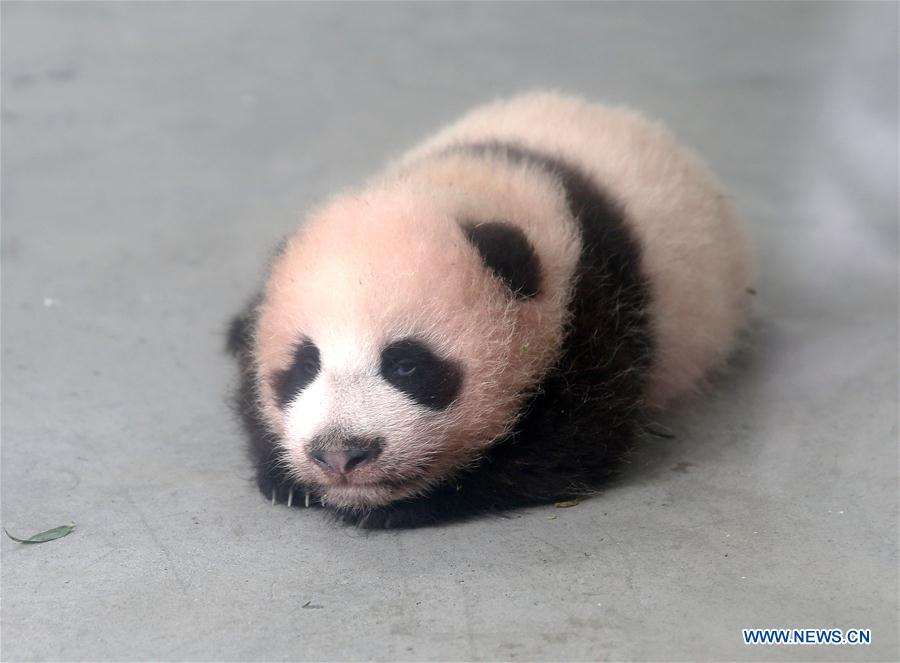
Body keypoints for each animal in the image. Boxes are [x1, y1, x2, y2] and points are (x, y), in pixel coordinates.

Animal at [228, 92, 754, 528]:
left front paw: (407, 502)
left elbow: (571, 441)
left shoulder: (592, 304)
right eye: (304, 366)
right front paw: (287, 480)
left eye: (406, 365)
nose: (341, 454)